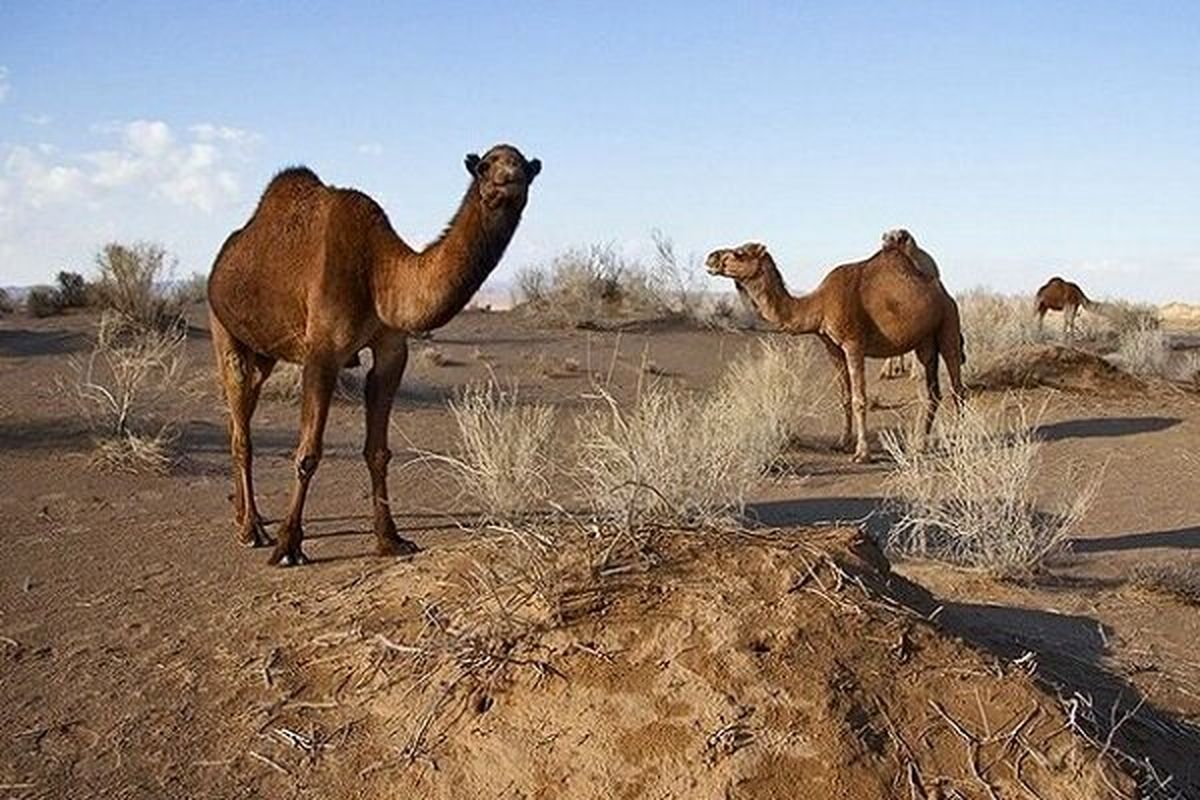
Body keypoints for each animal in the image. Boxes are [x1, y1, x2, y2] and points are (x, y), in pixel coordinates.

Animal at [208, 145, 542, 568]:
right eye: (484, 166)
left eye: (526, 168)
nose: (508, 178)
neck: (376, 270)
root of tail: (221, 261)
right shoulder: (322, 353)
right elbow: (307, 453)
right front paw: (288, 546)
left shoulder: (391, 350)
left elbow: (379, 451)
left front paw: (391, 539)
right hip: (223, 328)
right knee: (241, 428)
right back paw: (252, 529)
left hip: (264, 352)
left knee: (243, 412)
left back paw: (246, 517)